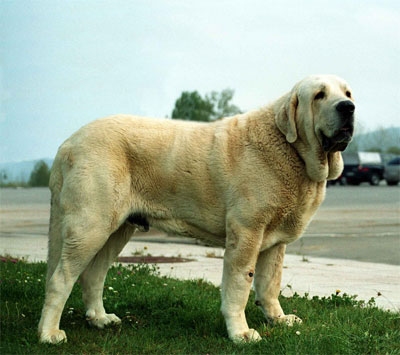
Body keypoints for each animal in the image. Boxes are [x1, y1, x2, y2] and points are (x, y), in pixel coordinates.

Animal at [38, 75, 356, 344]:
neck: (293, 152)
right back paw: (49, 333)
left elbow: (269, 284)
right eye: (319, 95)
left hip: (117, 229)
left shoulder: (274, 241)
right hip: (91, 226)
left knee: (93, 274)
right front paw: (240, 333)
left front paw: (278, 319)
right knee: (60, 278)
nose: (348, 107)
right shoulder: (247, 233)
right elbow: (240, 285)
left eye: (348, 93)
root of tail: (67, 144)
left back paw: (100, 319)